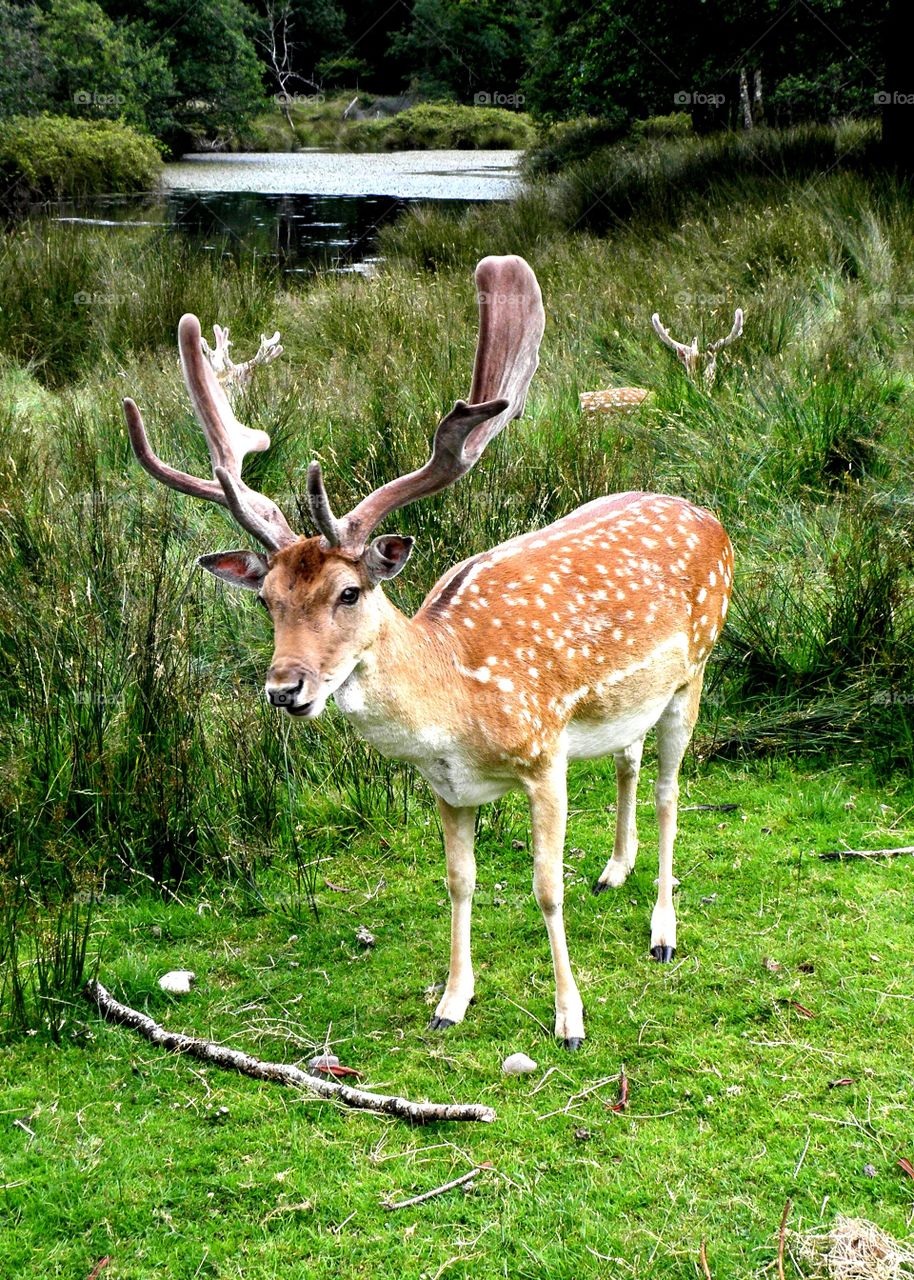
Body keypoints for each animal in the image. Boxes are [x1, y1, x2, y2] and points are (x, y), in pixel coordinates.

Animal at [123, 255, 733, 1049]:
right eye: (268, 600)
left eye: (350, 592)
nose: (285, 688)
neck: (458, 705)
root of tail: (711, 516)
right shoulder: (447, 790)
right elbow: (458, 882)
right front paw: (451, 1001)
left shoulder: (545, 756)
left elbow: (545, 888)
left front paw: (570, 1018)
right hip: (631, 699)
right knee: (629, 762)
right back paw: (614, 870)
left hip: (696, 669)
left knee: (667, 789)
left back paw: (662, 929)